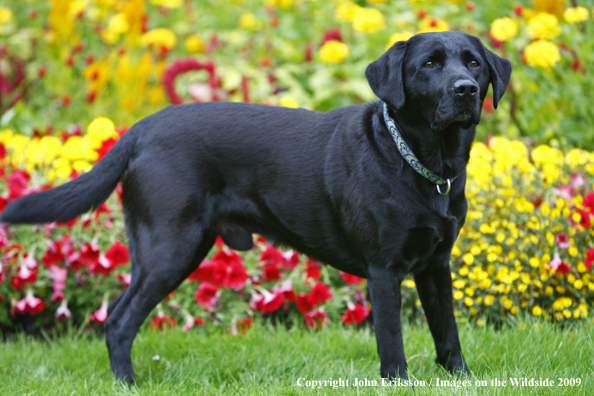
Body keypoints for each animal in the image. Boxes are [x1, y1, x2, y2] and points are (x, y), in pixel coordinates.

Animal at [0, 31, 508, 384]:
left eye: (473, 63)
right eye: (429, 64)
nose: (465, 89)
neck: (425, 164)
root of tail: (139, 129)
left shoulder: (436, 264)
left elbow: (447, 334)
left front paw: (464, 381)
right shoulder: (384, 270)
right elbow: (393, 345)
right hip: (169, 247)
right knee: (119, 321)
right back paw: (128, 383)